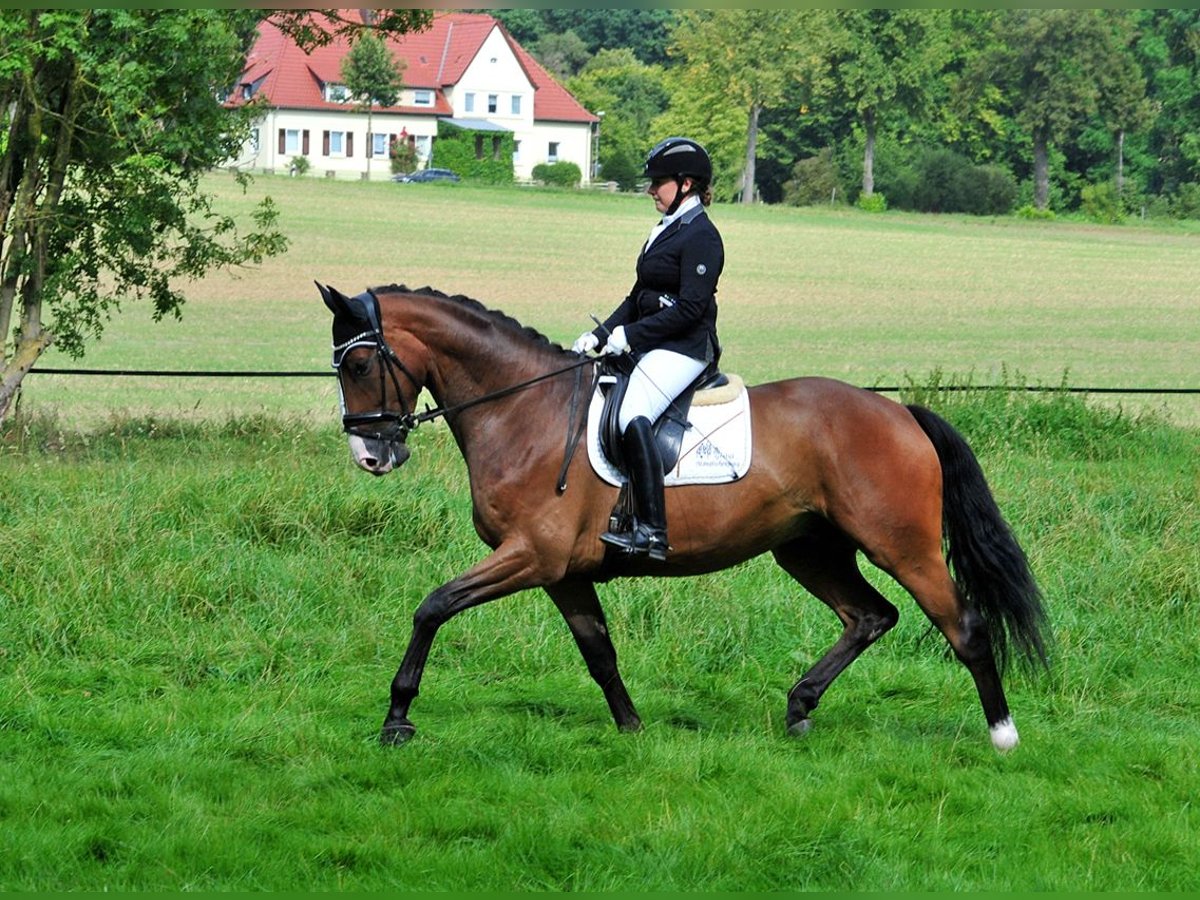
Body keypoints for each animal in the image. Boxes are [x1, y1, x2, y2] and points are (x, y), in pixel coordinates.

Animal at [319, 283, 1051, 753]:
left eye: (361, 363)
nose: (370, 455)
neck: (523, 409)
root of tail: (900, 413)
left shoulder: (532, 555)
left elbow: (434, 606)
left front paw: (396, 719)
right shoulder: (562, 571)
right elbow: (598, 650)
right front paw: (632, 729)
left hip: (902, 544)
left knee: (963, 625)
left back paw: (1004, 735)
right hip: (809, 549)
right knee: (869, 616)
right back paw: (799, 707)